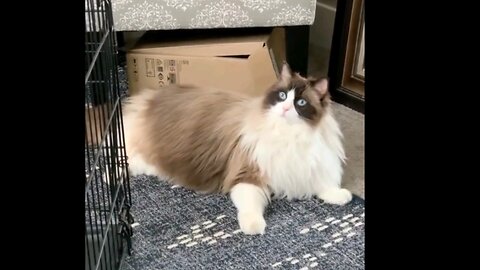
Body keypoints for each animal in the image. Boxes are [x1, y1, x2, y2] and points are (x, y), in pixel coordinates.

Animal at [122, 62, 354, 234]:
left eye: (301, 103)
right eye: (282, 96)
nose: (286, 108)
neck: (290, 135)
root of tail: (148, 99)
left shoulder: (309, 168)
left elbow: (324, 186)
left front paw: (342, 196)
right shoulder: (248, 174)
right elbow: (251, 206)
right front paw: (254, 227)